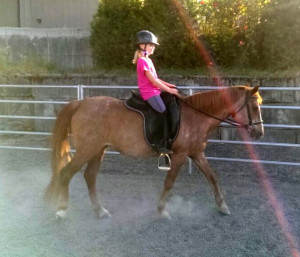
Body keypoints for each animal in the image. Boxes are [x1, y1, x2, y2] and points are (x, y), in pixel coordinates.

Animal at [44, 85, 262, 217]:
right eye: (253, 106)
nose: (259, 132)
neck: (196, 115)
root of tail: (81, 103)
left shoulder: (196, 154)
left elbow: (212, 177)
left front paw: (223, 206)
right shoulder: (180, 155)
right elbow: (169, 182)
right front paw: (162, 209)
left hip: (98, 150)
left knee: (89, 176)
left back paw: (100, 211)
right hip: (87, 150)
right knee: (66, 173)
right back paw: (62, 210)